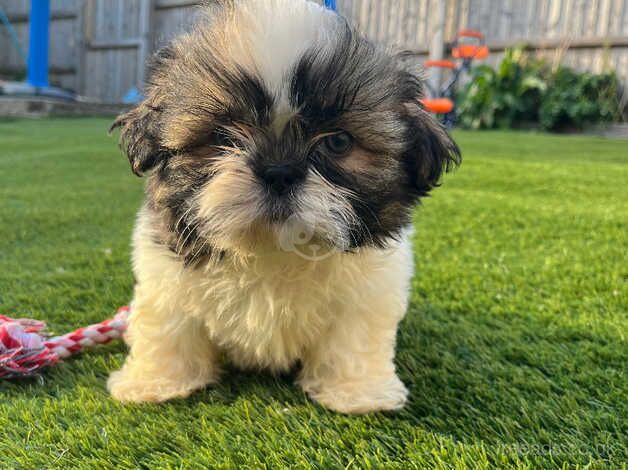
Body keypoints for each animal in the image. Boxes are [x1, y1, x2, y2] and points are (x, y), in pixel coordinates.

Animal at [106, 0, 462, 414]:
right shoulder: (167, 275)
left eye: (338, 143)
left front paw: (356, 391)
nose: (279, 171)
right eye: (223, 137)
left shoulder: (368, 291)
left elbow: (353, 337)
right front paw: (157, 381)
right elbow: (168, 326)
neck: (274, 248)